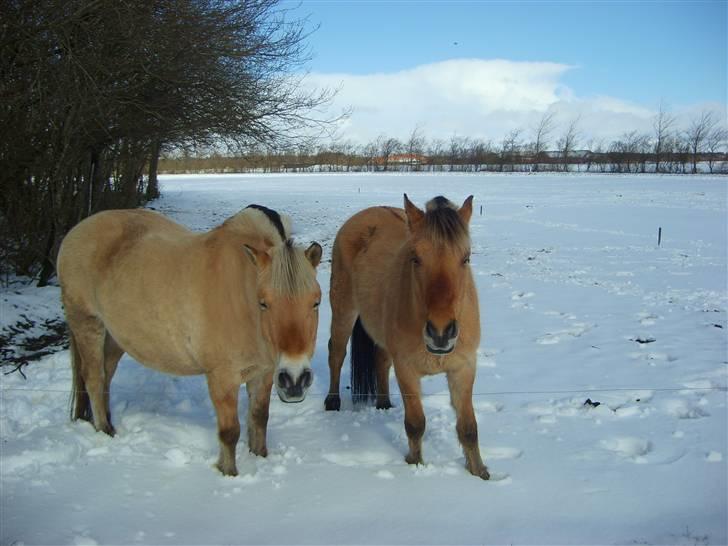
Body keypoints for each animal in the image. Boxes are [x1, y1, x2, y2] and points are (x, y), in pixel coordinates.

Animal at [60, 204, 324, 472]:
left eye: (316, 302)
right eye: (263, 303)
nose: (295, 380)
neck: (241, 297)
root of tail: (76, 231)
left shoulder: (264, 373)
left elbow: (259, 419)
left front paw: (260, 458)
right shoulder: (222, 379)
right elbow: (229, 432)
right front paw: (228, 472)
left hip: (115, 337)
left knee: (106, 376)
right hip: (87, 323)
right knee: (94, 379)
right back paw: (104, 430)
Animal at [326, 193, 490, 478]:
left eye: (466, 258)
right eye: (415, 258)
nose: (440, 333)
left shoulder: (464, 368)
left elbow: (468, 428)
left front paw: (479, 472)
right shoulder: (407, 370)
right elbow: (415, 424)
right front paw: (415, 465)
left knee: (380, 360)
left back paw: (383, 403)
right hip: (343, 311)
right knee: (336, 353)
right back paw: (333, 401)